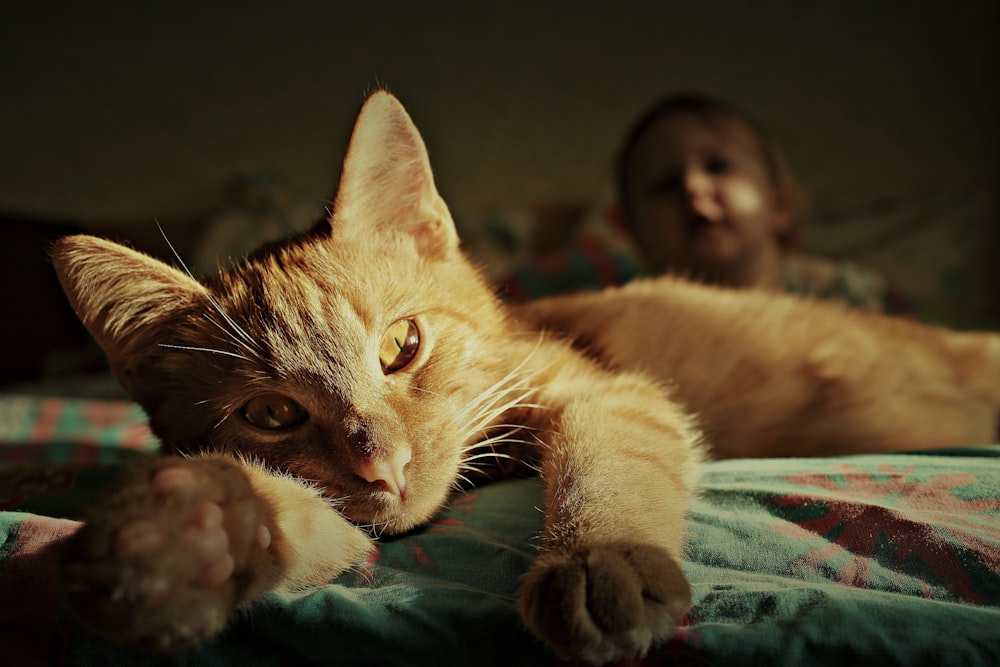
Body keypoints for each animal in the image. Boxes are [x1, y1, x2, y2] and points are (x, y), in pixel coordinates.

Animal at [48, 91, 1000, 664]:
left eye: (400, 346)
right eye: (273, 413)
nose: (382, 464)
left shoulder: (609, 393)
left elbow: (601, 461)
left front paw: (598, 554)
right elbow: (314, 523)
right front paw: (189, 533)